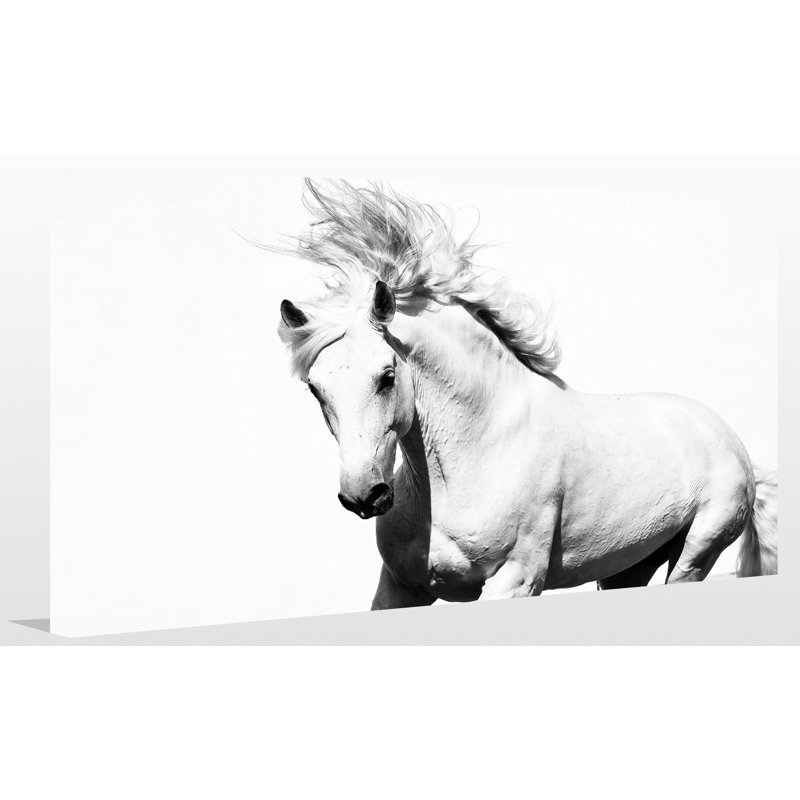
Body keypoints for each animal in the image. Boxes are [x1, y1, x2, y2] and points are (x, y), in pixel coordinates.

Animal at [273, 179, 778, 609]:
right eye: (316, 389)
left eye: (387, 375)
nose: (364, 495)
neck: (476, 455)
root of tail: (726, 437)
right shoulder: (400, 588)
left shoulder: (515, 580)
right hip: (628, 566)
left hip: (696, 552)